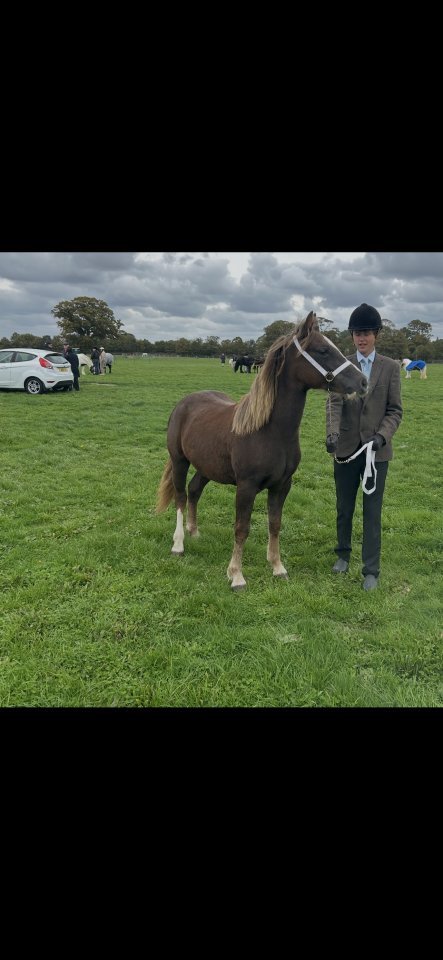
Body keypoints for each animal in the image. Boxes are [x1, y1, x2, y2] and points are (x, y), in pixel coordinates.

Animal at [156, 311, 367, 590]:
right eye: (323, 350)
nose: (363, 382)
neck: (269, 431)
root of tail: (184, 403)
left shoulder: (282, 485)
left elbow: (274, 524)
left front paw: (278, 567)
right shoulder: (246, 487)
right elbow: (242, 528)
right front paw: (236, 575)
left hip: (208, 467)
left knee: (194, 491)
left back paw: (195, 532)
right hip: (180, 461)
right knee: (180, 496)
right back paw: (179, 544)